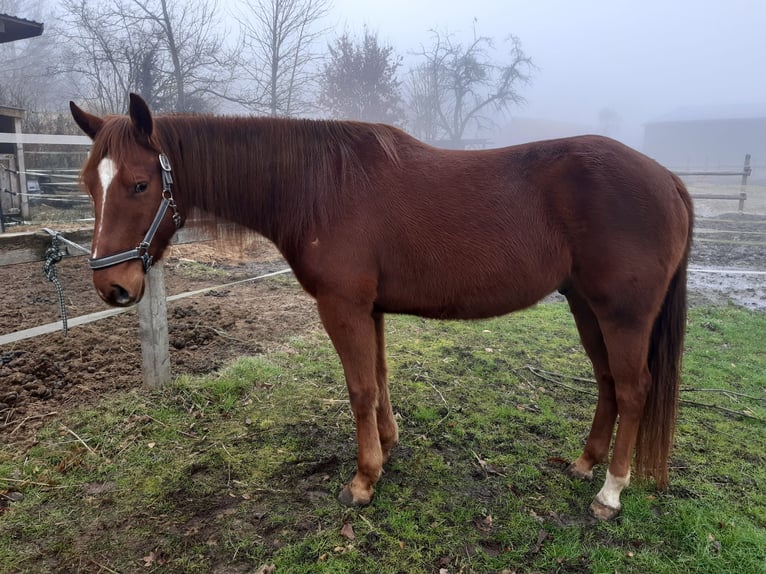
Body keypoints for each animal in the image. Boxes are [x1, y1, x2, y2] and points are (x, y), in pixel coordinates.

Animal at [70, 94, 693, 520]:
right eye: (89, 185)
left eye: (139, 184)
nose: (113, 287)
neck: (316, 185)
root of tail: (667, 178)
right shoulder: (370, 307)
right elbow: (381, 376)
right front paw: (388, 447)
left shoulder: (342, 305)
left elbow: (359, 386)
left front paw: (364, 479)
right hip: (586, 307)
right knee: (608, 382)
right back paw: (586, 464)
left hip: (622, 314)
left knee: (633, 389)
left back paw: (610, 491)